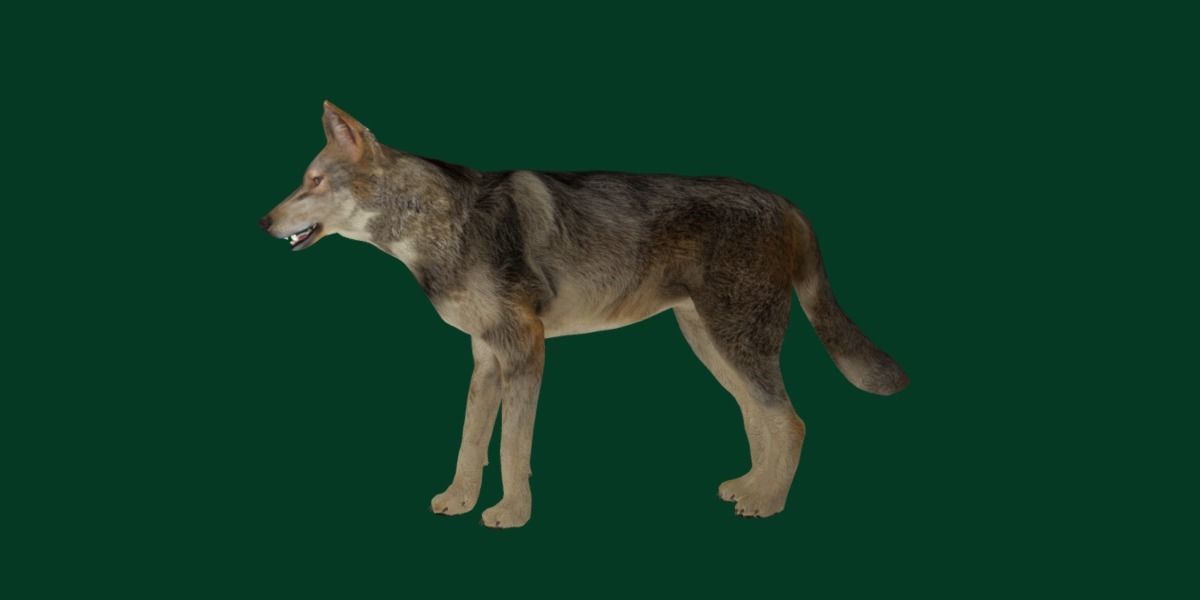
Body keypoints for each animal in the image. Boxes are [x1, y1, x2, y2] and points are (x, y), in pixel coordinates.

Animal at [260, 101, 908, 528]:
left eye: (313, 181)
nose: (262, 221)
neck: (439, 224)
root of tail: (787, 202)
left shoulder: (525, 350)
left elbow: (513, 448)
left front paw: (510, 513)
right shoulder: (486, 357)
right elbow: (472, 442)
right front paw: (459, 501)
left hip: (736, 343)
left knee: (791, 422)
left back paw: (769, 503)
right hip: (712, 345)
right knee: (760, 418)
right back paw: (751, 487)